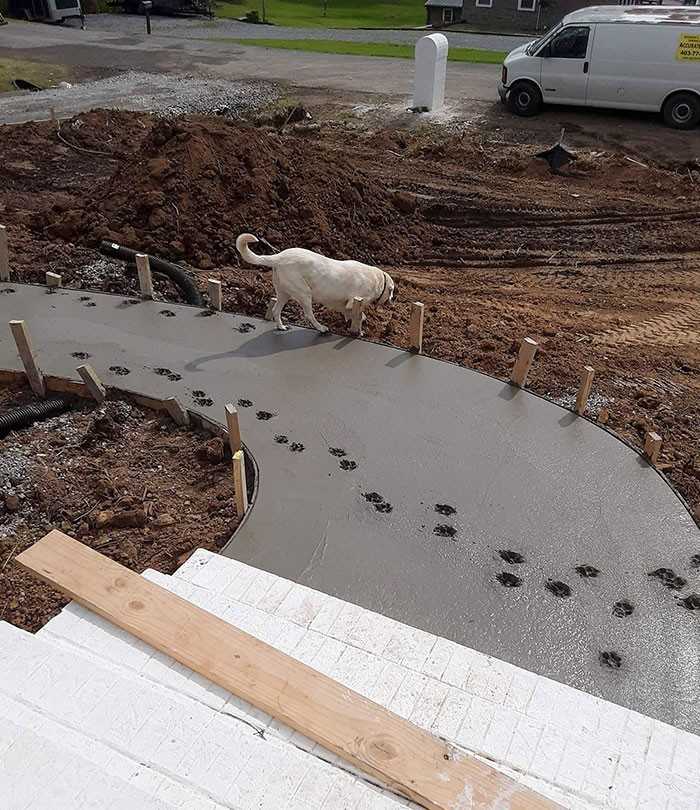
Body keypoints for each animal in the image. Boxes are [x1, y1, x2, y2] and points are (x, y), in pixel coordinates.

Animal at [234, 232, 388, 332]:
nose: (391, 300)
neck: (377, 279)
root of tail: (279, 257)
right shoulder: (356, 300)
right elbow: (356, 313)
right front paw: (359, 326)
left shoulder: (344, 303)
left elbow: (348, 311)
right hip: (304, 293)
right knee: (309, 314)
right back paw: (321, 328)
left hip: (284, 292)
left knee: (275, 310)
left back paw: (281, 326)